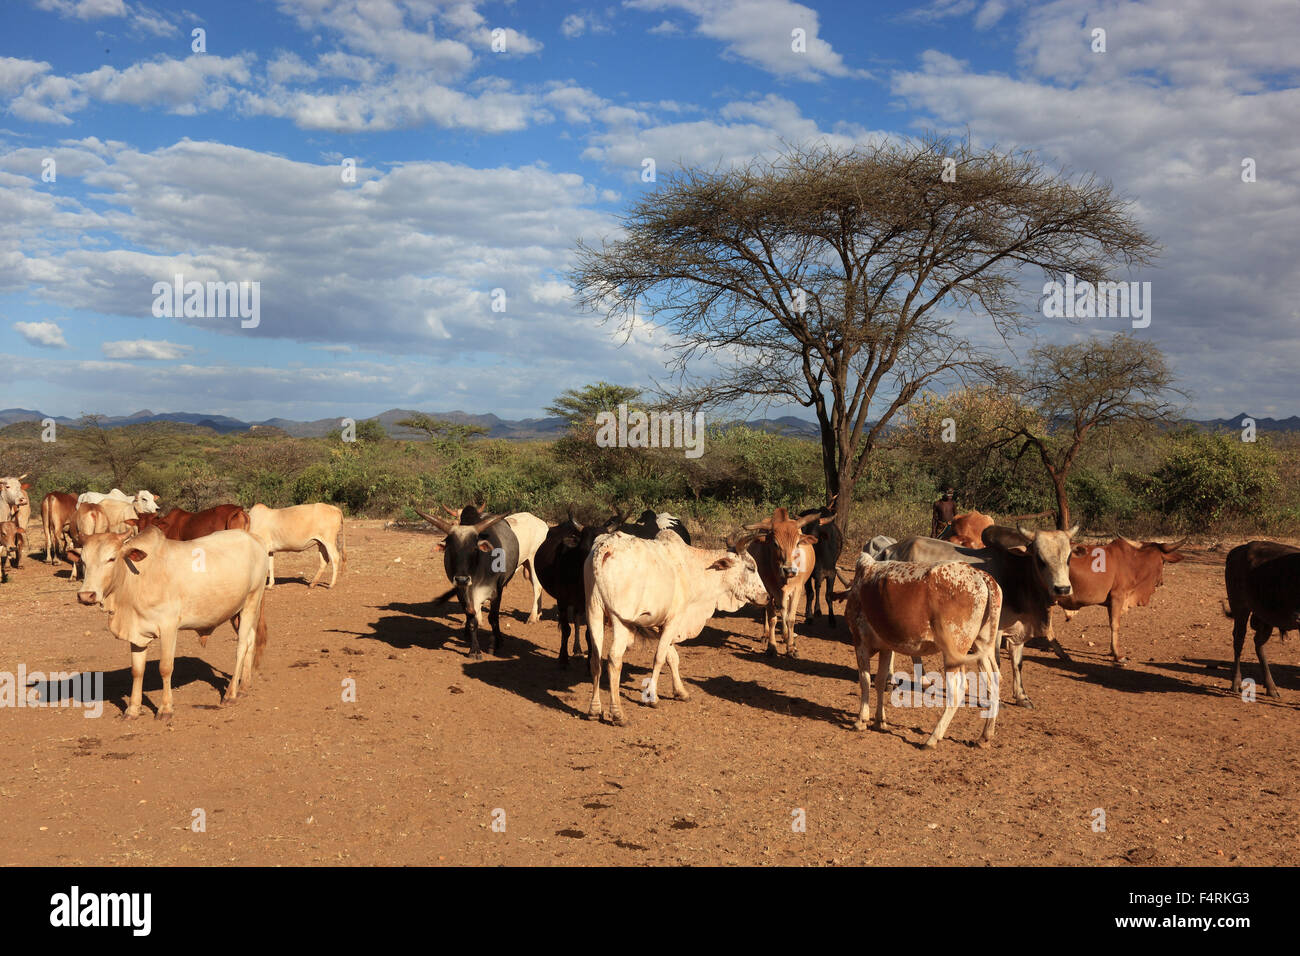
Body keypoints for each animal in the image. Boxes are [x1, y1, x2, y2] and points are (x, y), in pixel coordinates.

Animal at [67, 528, 269, 723]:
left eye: (111, 558)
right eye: (83, 561)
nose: (86, 595)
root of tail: (254, 538)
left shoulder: (168, 627)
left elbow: (165, 668)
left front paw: (165, 709)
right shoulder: (137, 633)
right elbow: (137, 671)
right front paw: (132, 710)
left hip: (251, 601)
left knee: (241, 646)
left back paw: (231, 694)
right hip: (236, 612)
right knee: (250, 640)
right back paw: (244, 686)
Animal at [413, 504, 520, 660]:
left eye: (474, 548)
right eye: (450, 549)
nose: (462, 579)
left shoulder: (497, 591)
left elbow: (493, 618)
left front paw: (494, 644)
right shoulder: (462, 591)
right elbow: (471, 618)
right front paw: (474, 649)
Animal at [585, 530, 764, 723]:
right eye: (751, 567)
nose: (767, 596)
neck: (691, 568)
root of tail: (605, 547)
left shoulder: (661, 625)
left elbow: (672, 657)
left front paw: (681, 692)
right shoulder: (674, 619)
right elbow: (659, 658)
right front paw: (652, 697)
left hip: (594, 612)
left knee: (595, 659)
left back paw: (594, 709)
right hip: (620, 621)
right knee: (614, 659)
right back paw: (618, 713)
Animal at [1050, 538, 1185, 665]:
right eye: (1163, 561)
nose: (1161, 582)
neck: (1133, 562)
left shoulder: (1111, 603)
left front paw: (1112, 650)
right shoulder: (1117, 597)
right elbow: (1115, 625)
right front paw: (1118, 655)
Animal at [1222, 538, 1294, 702]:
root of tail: (1237, 550)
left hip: (1265, 618)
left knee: (1258, 643)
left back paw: (1271, 687)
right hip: (1240, 607)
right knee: (1239, 640)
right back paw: (1236, 683)